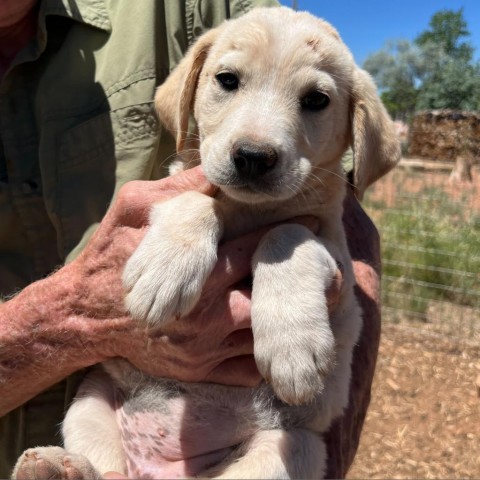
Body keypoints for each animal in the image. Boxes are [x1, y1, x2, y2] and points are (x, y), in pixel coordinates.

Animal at [13, 7, 400, 480]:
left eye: (316, 100)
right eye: (227, 80)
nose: (252, 157)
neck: (246, 210)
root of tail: (161, 472)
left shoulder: (340, 273)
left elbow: (287, 234)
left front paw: (292, 346)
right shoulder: (174, 185)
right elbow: (197, 199)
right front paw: (165, 270)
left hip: (294, 448)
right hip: (89, 401)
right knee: (105, 468)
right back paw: (57, 466)